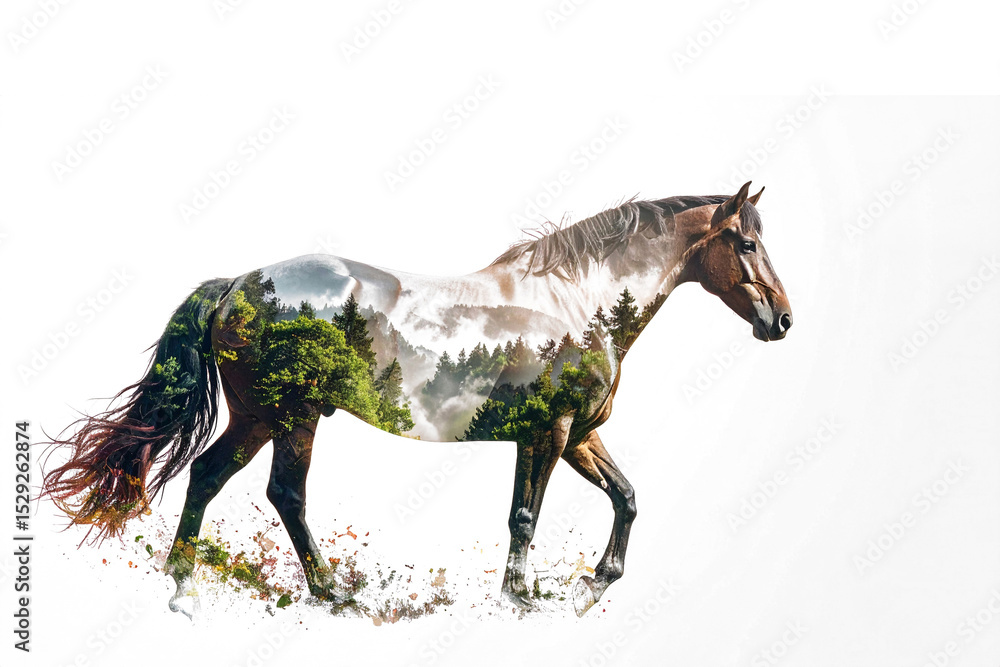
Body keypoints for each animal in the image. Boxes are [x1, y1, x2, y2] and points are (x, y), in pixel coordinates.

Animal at [41, 180, 792, 618]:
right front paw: (521, 600)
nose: (782, 320)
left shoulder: (579, 434)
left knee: (206, 475)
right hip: (293, 416)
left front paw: (593, 583)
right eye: (745, 242)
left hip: (258, 416)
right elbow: (524, 517)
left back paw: (183, 591)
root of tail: (238, 284)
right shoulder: (547, 433)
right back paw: (332, 594)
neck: (578, 305)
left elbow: (627, 497)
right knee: (285, 494)